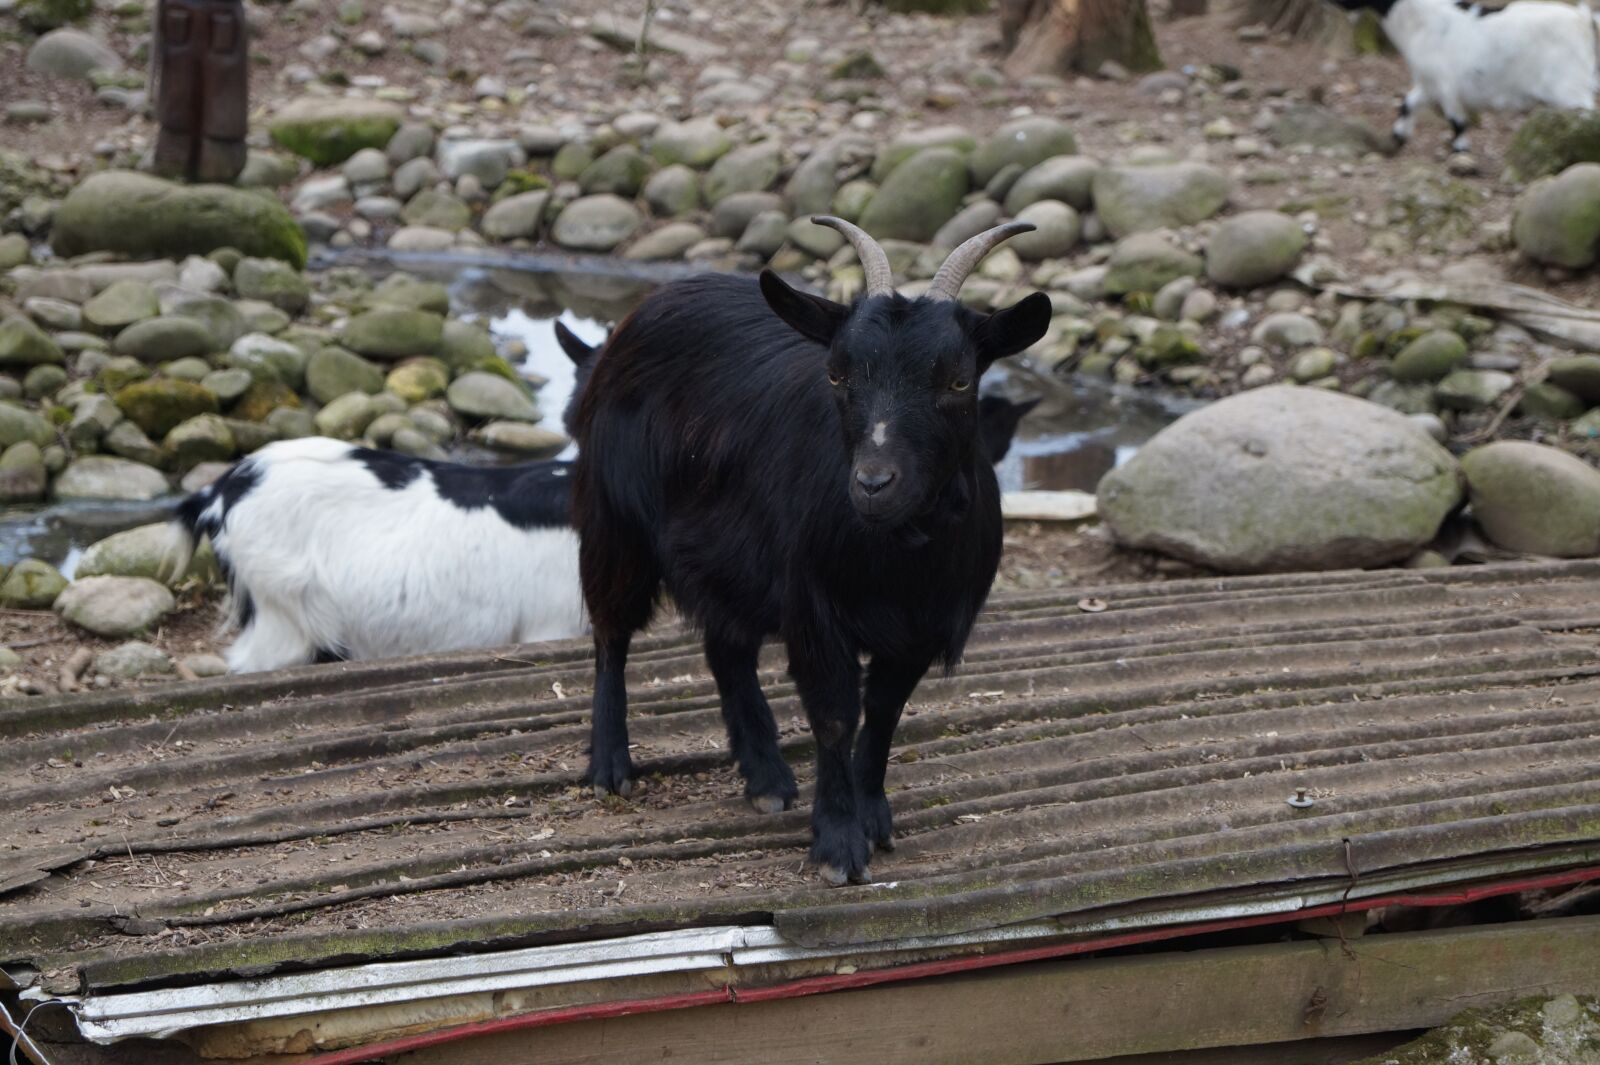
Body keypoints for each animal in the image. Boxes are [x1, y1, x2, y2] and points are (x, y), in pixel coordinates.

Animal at [571, 218, 1052, 885]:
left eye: (959, 380)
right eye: (837, 375)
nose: (873, 483)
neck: (898, 558)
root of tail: (647, 307)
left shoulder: (919, 625)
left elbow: (883, 712)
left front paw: (873, 817)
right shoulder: (814, 608)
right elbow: (834, 716)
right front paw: (838, 844)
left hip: (725, 557)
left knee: (726, 647)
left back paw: (766, 777)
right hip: (615, 521)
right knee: (611, 632)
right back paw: (611, 768)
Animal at [1332, 0, 1600, 152]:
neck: (1419, 20)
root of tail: (1584, 21)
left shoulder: (1446, 85)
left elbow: (1457, 121)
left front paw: (1460, 151)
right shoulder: (1428, 82)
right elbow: (1408, 103)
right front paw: (1398, 136)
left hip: (1570, 90)